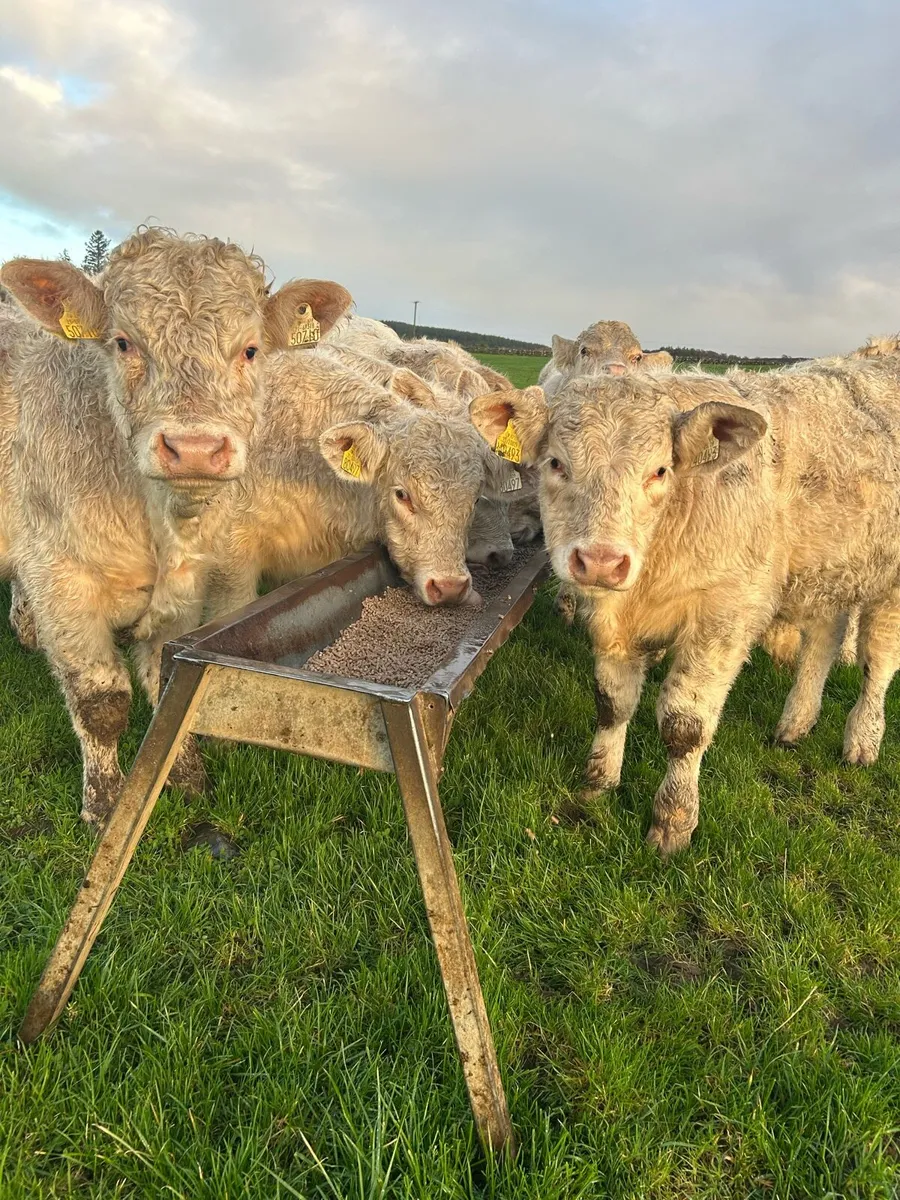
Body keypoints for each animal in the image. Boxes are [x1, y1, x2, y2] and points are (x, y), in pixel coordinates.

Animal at [0, 228, 351, 823]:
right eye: (123, 343)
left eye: (250, 350)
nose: (194, 449)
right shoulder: (61, 580)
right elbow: (100, 701)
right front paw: (104, 803)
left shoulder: (189, 586)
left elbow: (170, 686)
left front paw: (185, 777)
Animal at [470, 355, 900, 853]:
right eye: (556, 463)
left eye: (659, 471)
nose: (601, 561)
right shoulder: (614, 623)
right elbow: (612, 703)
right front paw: (598, 782)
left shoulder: (725, 617)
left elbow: (685, 726)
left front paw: (673, 819)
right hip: (827, 572)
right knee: (823, 641)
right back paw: (796, 723)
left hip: (888, 585)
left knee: (878, 663)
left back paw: (863, 740)